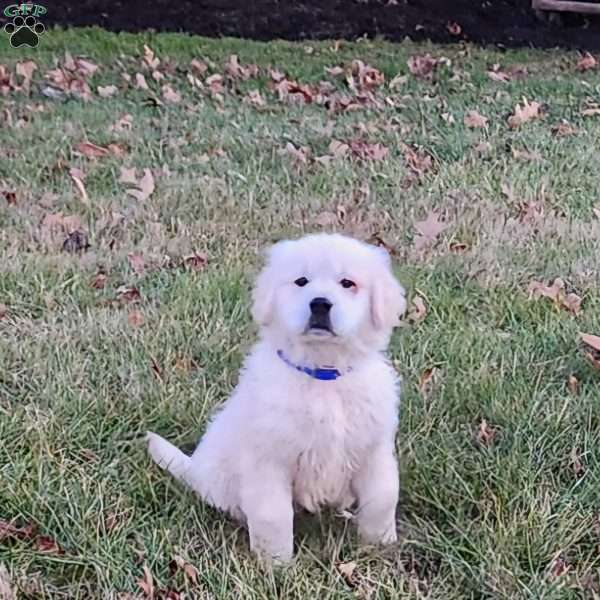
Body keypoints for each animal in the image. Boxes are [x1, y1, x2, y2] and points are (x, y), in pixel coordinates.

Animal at [147, 232, 406, 560]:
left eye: (348, 283)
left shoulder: (373, 449)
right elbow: (273, 514)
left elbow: (383, 496)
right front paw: (276, 563)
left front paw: (379, 545)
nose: (320, 304)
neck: (322, 374)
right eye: (301, 281)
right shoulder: (269, 459)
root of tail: (195, 468)